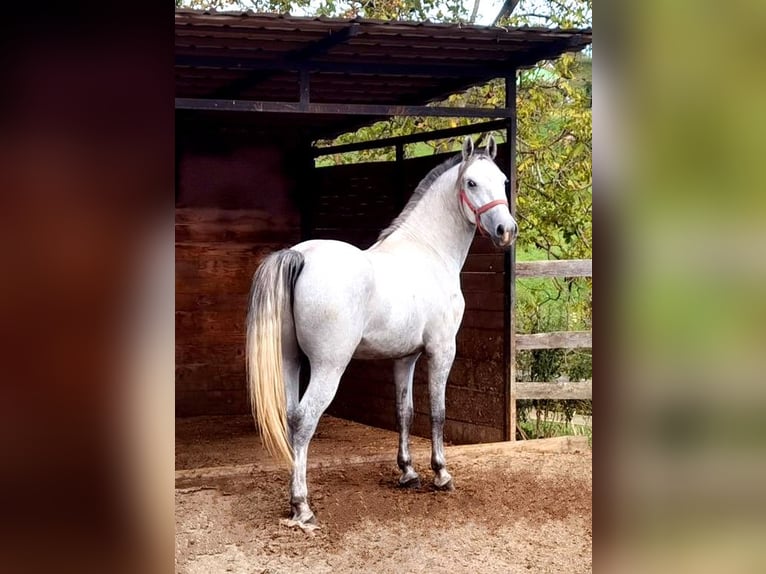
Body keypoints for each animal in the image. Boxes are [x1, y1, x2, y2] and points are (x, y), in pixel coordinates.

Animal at [249, 135, 520, 528]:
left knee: (289, 417)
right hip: (329, 367)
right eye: (471, 183)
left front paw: (407, 472)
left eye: (502, 180)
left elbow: (404, 411)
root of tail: (299, 257)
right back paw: (302, 505)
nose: (506, 231)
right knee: (303, 420)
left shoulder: (404, 357)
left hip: (290, 360)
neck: (429, 251)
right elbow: (437, 411)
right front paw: (441, 474)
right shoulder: (442, 350)